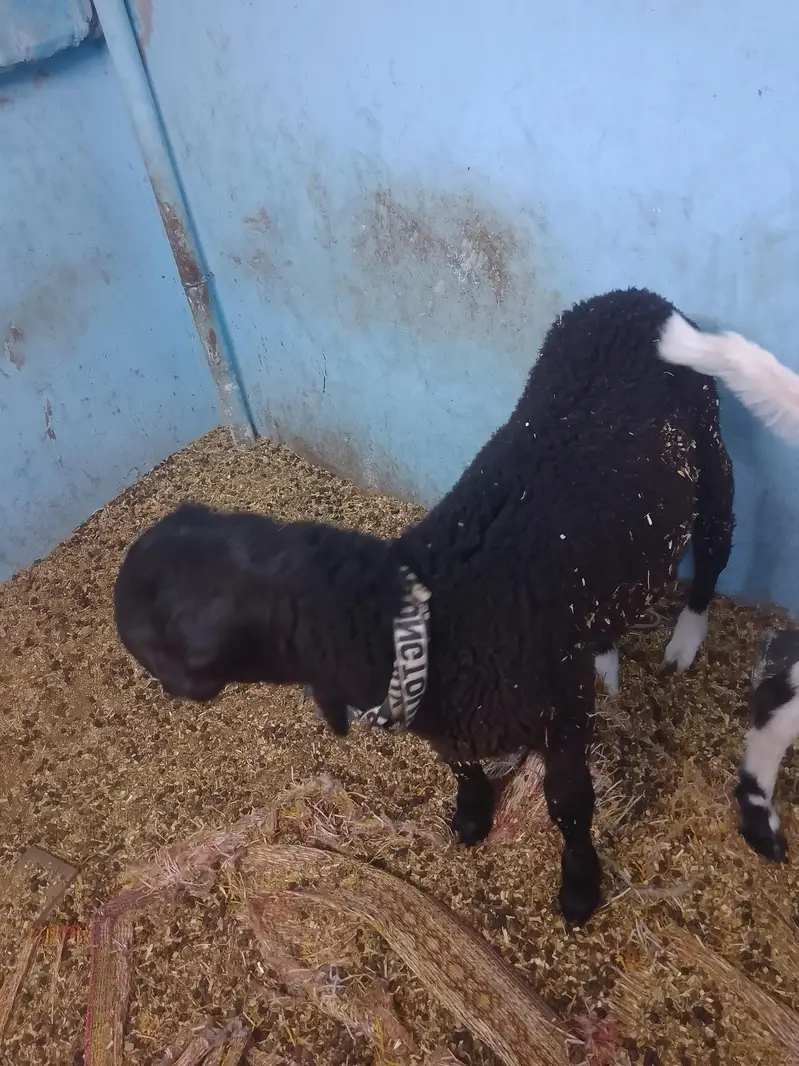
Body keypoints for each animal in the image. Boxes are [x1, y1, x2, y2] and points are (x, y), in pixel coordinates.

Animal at [114, 287, 786, 925]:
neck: (441, 619)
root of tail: (637, 297)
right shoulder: (459, 718)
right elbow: (459, 764)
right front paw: (471, 816)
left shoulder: (562, 716)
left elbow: (569, 805)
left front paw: (579, 887)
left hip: (711, 454)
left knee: (714, 550)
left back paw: (685, 640)